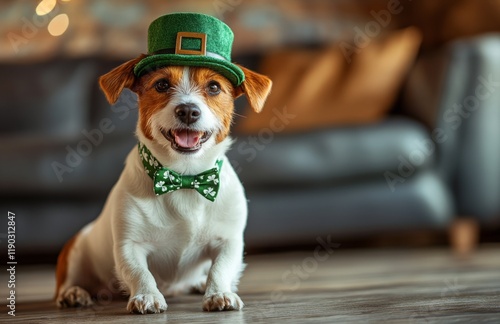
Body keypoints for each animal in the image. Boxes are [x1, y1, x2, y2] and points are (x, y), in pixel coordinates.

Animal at [54, 13, 272, 314]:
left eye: (214, 87)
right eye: (161, 85)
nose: (188, 111)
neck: (185, 177)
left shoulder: (229, 241)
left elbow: (221, 268)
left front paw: (219, 293)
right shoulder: (129, 244)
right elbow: (139, 271)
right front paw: (147, 296)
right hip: (76, 250)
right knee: (67, 281)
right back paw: (73, 293)